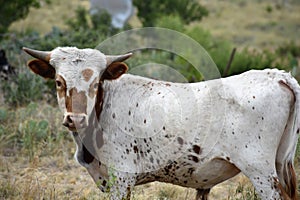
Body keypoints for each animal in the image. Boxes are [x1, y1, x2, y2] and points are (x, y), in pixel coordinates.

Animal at [22, 46, 298, 199]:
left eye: (96, 82)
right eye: (59, 82)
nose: (75, 118)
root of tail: (278, 75)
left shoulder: (121, 178)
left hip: (261, 171)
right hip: (281, 164)